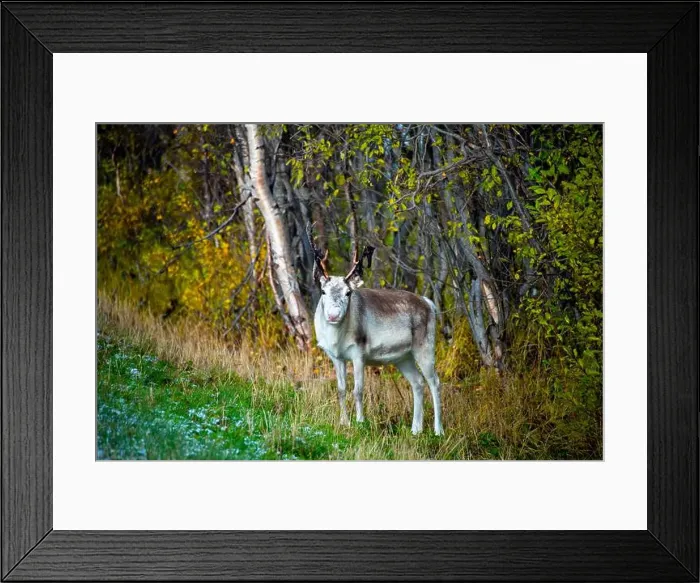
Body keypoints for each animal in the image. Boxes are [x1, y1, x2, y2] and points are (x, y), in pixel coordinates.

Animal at [306, 223, 444, 436]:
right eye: (323, 291)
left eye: (348, 292)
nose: (333, 315)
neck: (337, 338)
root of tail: (429, 303)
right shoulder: (336, 356)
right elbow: (341, 389)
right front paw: (344, 423)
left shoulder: (359, 353)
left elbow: (358, 390)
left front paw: (360, 422)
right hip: (403, 357)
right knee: (417, 382)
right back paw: (415, 429)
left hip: (425, 347)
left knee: (434, 381)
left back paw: (438, 430)